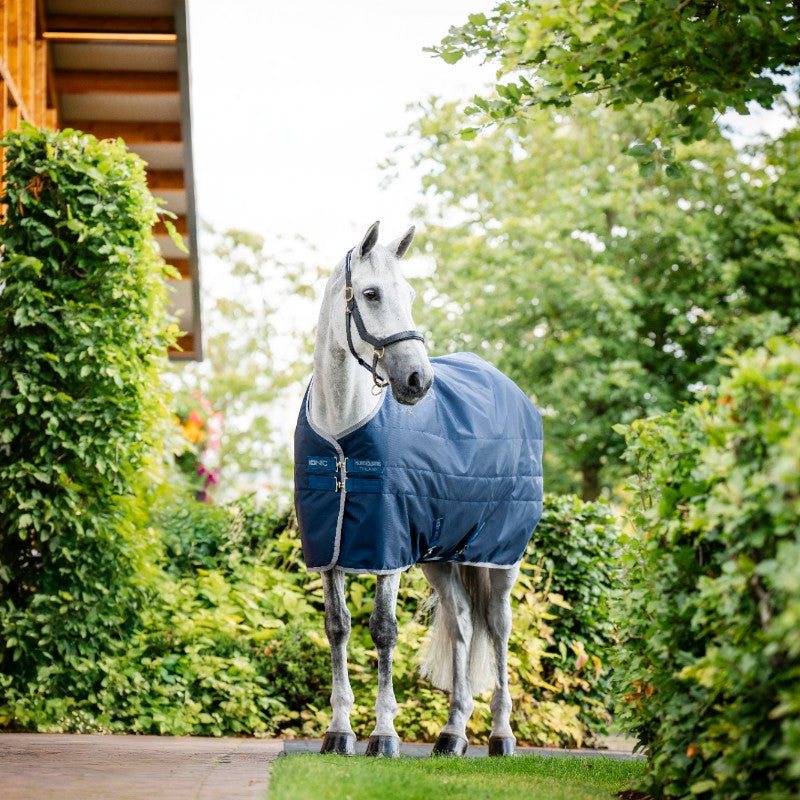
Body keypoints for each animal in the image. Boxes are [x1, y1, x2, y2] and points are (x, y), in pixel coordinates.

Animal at [293, 221, 543, 757]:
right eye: (371, 293)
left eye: (409, 293)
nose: (417, 380)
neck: (343, 434)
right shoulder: (329, 548)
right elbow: (337, 627)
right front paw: (339, 731)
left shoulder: (388, 546)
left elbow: (383, 631)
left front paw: (384, 735)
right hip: (441, 557)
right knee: (464, 624)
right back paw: (452, 735)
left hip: (501, 556)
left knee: (499, 629)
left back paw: (501, 735)